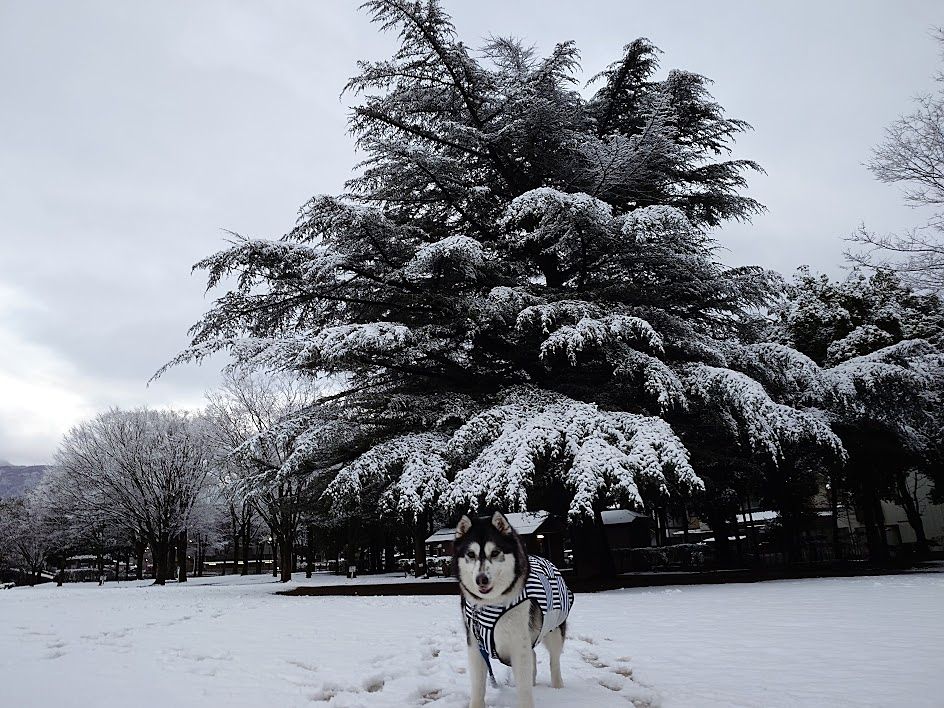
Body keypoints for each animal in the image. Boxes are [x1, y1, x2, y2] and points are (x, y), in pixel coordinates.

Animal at [454, 512, 572, 708]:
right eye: (470, 554)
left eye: (495, 553)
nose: (481, 579)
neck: (492, 603)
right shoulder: (475, 643)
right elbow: (478, 684)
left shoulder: (519, 642)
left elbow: (523, 687)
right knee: (533, 656)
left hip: (554, 628)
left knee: (554, 660)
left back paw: (558, 688)